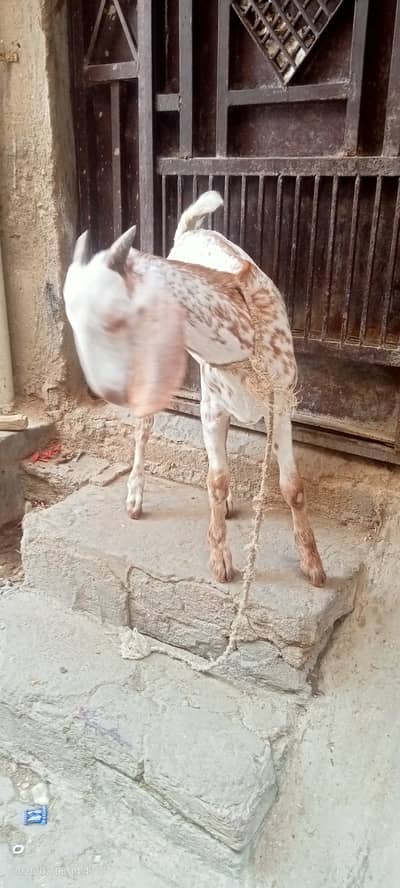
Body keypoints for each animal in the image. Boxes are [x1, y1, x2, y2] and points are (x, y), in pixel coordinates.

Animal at [64, 191, 326, 587]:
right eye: (72, 323)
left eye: (111, 320)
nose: (107, 390)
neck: (243, 341)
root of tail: (188, 231)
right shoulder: (212, 405)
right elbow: (215, 479)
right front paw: (220, 561)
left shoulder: (279, 403)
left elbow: (291, 485)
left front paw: (312, 564)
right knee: (144, 427)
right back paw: (135, 497)